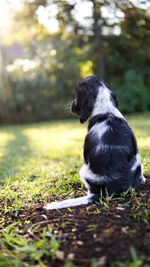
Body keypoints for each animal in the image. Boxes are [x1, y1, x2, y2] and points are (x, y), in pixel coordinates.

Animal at [44, 74, 145, 210]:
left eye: (77, 93)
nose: (72, 104)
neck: (106, 109)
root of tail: (108, 190)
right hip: (137, 159)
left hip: (83, 170)